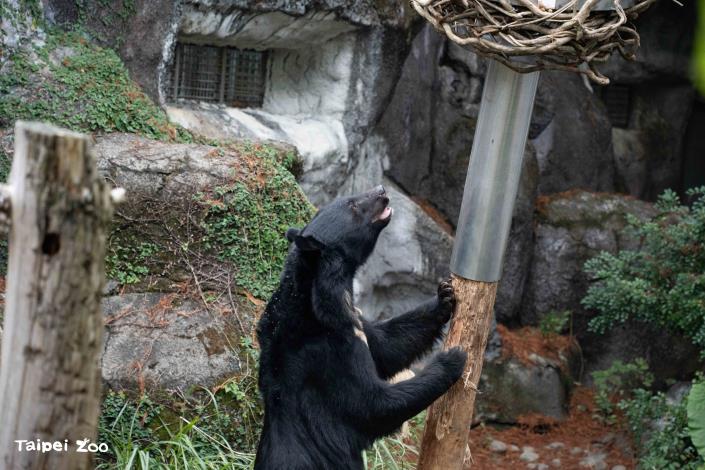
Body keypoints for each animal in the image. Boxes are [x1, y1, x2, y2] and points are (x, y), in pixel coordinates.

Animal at [254, 185, 467, 470]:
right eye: (353, 205)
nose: (381, 189)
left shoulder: (354, 321)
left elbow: (387, 345)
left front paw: (445, 296)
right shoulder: (326, 354)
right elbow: (371, 406)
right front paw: (452, 358)